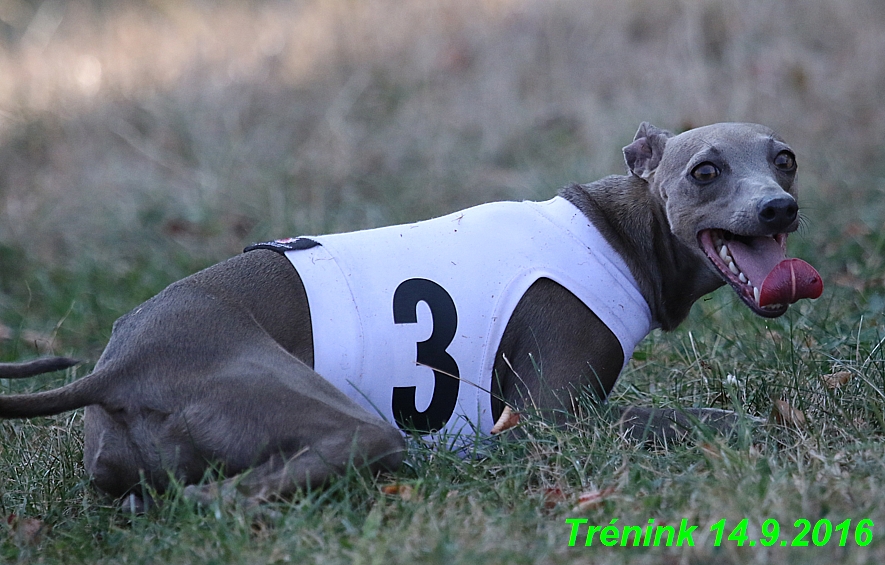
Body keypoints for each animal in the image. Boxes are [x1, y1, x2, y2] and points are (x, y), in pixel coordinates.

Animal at [0, 122, 820, 502]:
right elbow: (683, 417)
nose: (779, 207)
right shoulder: (549, 422)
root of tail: (121, 365)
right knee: (227, 495)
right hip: (343, 424)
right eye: (705, 170)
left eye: (785, 158)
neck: (614, 231)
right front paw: (751, 430)